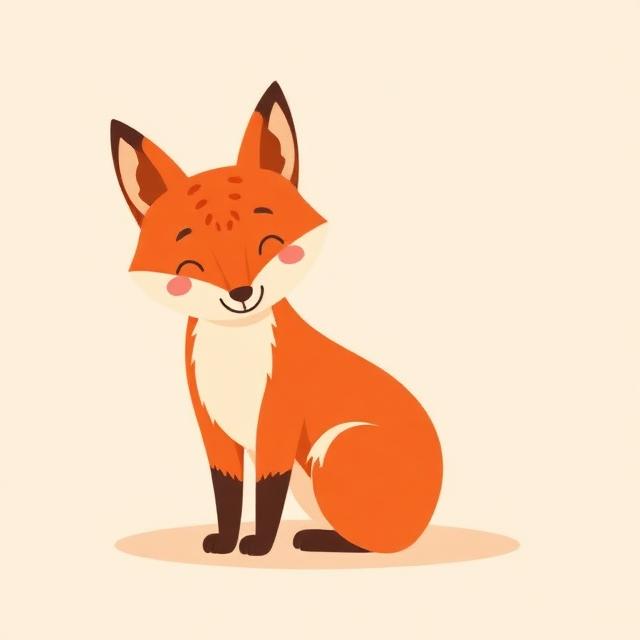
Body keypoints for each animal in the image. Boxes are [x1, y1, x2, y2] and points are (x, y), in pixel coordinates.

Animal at [110, 82, 443, 555]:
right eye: (194, 259)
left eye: (269, 243)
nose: (242, 294)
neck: (234, 357)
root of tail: (425, 522)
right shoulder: (213, 430)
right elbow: (227, 494)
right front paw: (225, 542)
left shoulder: (278, 424)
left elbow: (267, 493)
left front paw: (259, 546)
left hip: (335, 448)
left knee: (379, 543)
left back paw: (319, 540)